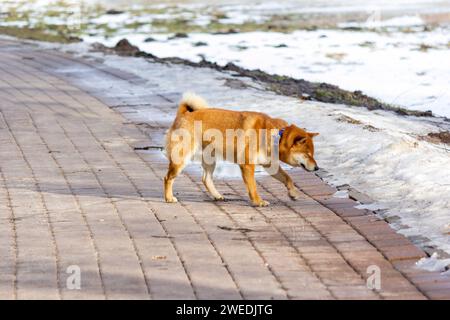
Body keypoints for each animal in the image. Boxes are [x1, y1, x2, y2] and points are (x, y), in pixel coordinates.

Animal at [163, 92, 318, 208]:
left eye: (312, 154)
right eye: (307, 154)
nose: (317, 168)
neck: (276, 136)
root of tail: (184, 114)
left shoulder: (270, 166)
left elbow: (288, 178)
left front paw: (293, 193)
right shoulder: (248, 166)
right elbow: (253, 187)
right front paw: (258, 201)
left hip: (210, 159)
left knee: (206, 179)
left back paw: (217, 195)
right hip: (181, 159)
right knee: (168, 178)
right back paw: (169, 198)